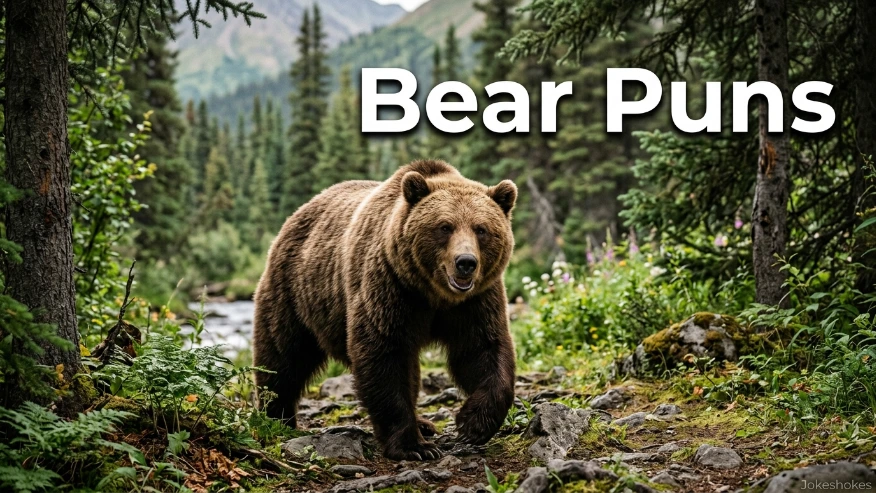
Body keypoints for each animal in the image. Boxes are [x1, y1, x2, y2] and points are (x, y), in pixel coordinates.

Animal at [252, 159, 517, 460]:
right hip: (295, 290)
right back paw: (277, 417)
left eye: (481, 229)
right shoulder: (391, 287)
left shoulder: (476, 301)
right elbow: (384, 353)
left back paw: (425, 424)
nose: (466, 262)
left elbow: (482, 350)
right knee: (283, 355)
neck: (434, 295)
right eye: (445, 227)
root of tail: (298, 213)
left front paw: (472, 424)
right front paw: (414, 446)